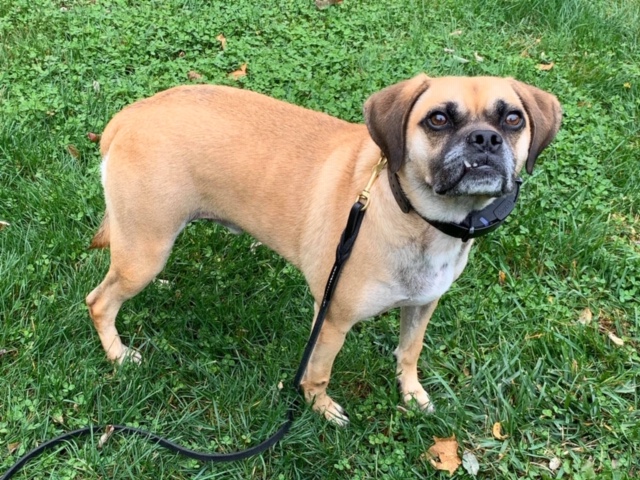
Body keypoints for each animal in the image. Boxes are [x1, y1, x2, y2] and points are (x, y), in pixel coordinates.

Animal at [86, 74, 561, 425]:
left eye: (513, 118)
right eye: (439, 119)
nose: (485, 139)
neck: (412, 215)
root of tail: (129, 115)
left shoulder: (423, 303)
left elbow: (409, 352)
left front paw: (412, 394)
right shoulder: (332, 318)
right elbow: (318, 372)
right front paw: (320, 409)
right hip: (144, 253)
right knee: (99, 301)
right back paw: (117, 354)